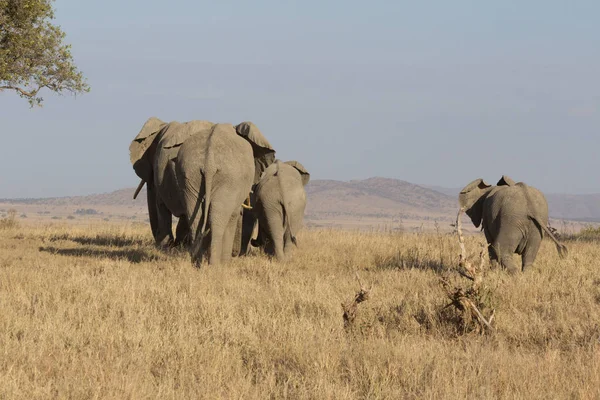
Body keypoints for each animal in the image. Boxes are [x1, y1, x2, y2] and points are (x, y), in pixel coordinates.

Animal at [175, 122, 276, 266]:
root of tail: (209, 162)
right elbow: (233, 215)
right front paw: (226, 263)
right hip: (228, 179)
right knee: (218, 218)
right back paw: (215, 266)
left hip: (188, 174)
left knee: (195, 217)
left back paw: (197, 263)